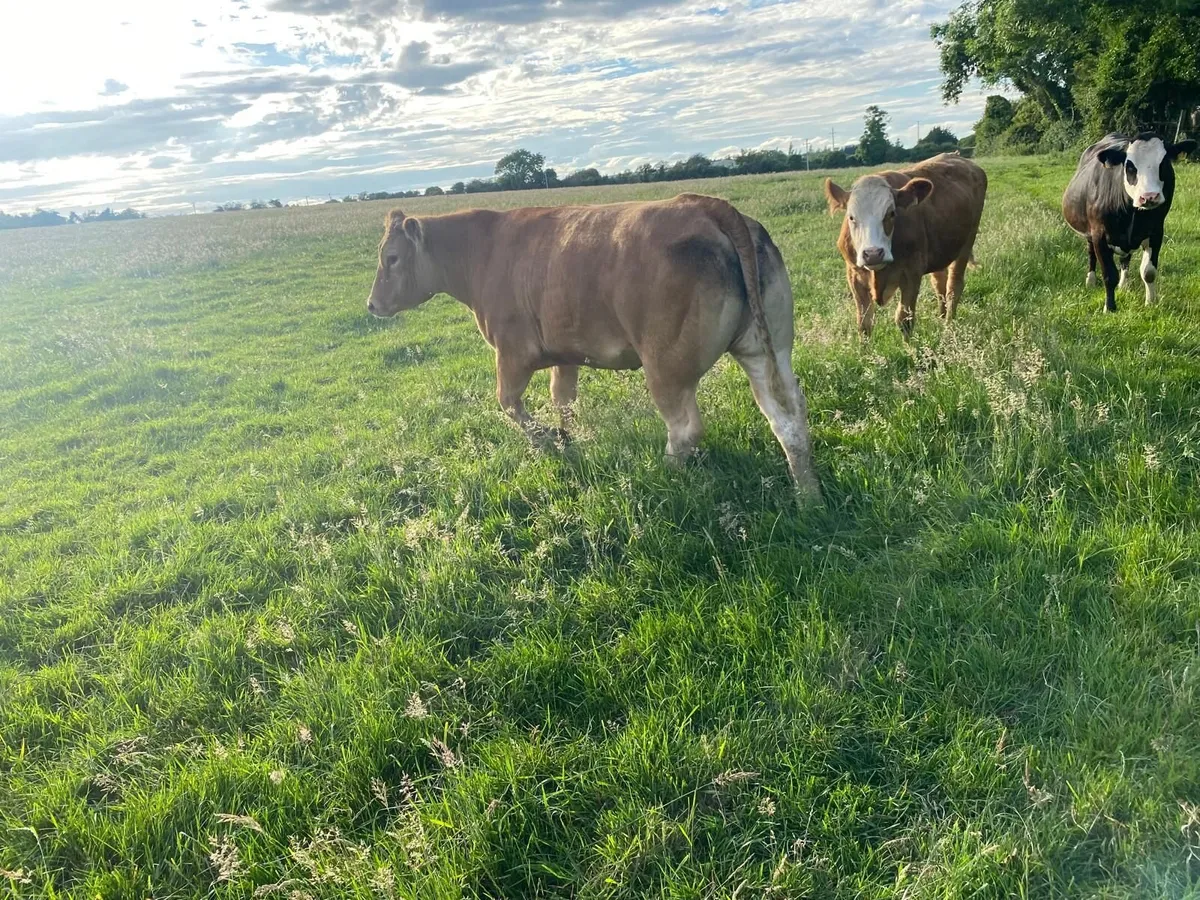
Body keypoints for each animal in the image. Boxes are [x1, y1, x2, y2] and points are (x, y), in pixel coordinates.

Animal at [366, 194, 822, 499]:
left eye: (391, 258)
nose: (371, 304)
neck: (484, 252)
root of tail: (707, 205)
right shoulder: (564, 355)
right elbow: (562, 399)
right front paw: (568, 439)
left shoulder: (511, 353)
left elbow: (509, 404)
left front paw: (546, 441)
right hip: (768, 351)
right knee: (788, 419)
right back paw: (808, 496)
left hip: (667, 367)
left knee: (685, 428)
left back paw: (664, 474)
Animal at [824, 153, 988, 340]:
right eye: (851, 217)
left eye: (891, 213)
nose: (873, 254)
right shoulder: (854, 275)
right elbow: (864, 324)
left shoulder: (912, 273)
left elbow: (904, 320)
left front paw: (912, 347)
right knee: (939, 283)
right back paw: (941, 317)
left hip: (966, 244)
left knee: (954, 287)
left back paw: (948, 327)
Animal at [1062, 132, 1196, 312]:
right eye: (1130, 166)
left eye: (1164, 163)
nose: (1149, 196)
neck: (1133, 214)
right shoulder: (1099, 235)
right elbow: (1109, 274)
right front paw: (1110, 308)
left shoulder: (1156, 232)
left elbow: (1148, 272)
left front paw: (1150, 302)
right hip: (1088, 232)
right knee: (1091, 254)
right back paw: (1090, 281)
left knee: (1126, 258)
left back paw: (1124, 285)